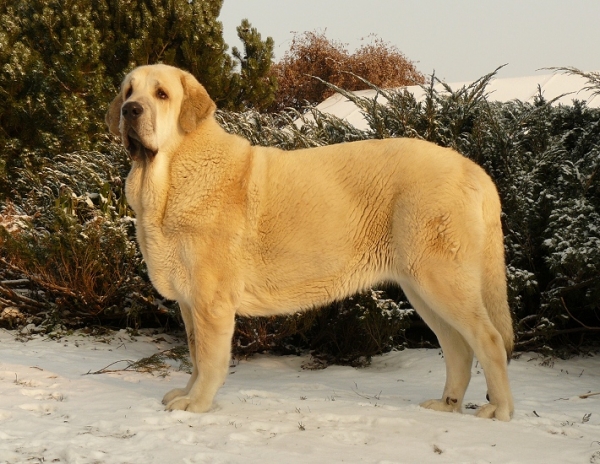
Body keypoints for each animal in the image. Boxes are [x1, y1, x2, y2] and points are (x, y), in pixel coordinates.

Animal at [106, 63, 516, 422]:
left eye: (161, 94)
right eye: (128, 92)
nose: (130, 110)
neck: (171, 174)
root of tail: (474, 170)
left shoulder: (211, 301)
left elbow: (208, 359)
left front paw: (198, 404)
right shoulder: (190, 302)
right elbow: (194, 353)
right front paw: (188, 394)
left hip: (441, 280)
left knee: (489, 340)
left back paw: (499, 410)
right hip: (422, 288)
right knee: (459, 347)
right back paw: (447, 406)